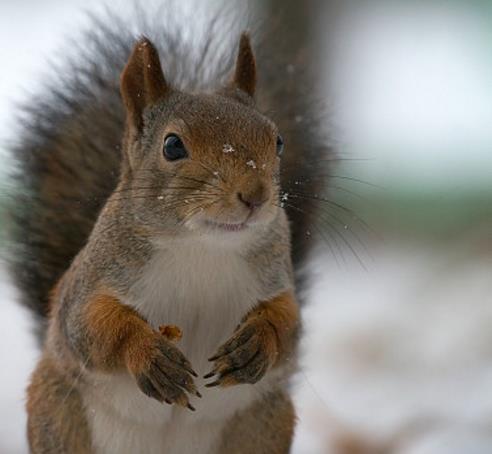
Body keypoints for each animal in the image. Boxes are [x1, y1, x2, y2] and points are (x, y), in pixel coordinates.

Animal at [6, 4, 326, 454]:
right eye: (173, 145)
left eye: (277, 141)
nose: (255, 195)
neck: (204, 247)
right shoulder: (91, 284)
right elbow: (91, 328)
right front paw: (150, 355)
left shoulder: (277, 278)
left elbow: (290, 326)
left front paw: (255, 344)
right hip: (58, 413)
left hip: (262, 423)